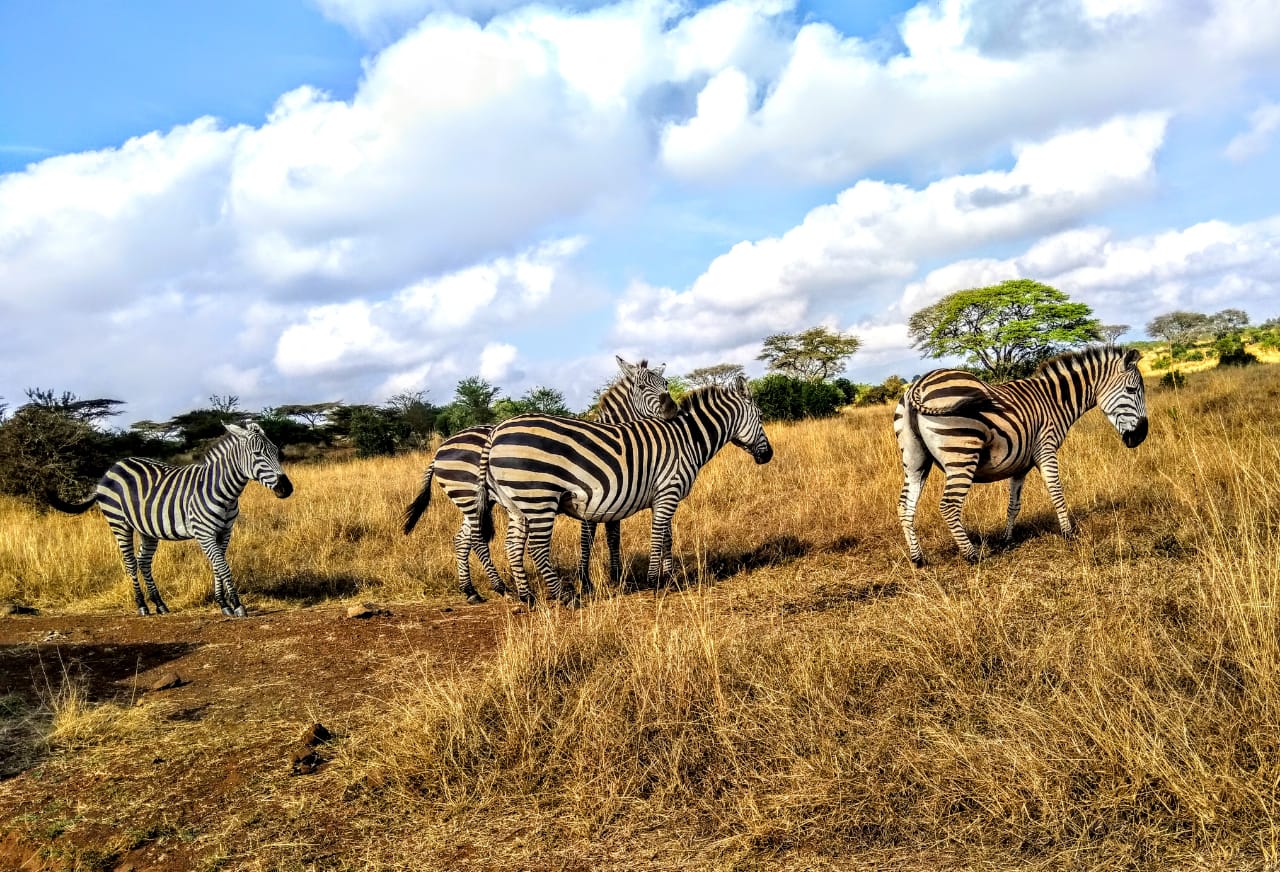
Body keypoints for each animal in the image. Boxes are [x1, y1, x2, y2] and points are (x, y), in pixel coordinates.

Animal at [48, 422, 293, 616]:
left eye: (277, 452)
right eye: (257, 454)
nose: (287, 489)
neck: (222, 490)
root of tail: (112, 468)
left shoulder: (224, 532)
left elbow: (217, 565)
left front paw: (223, 604)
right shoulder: (204, 532)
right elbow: (223, 566)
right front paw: (237, 604)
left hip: (146, 528)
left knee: (143, 561)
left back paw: (160, 604)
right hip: (119, 523)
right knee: (130, 562)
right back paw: (142, 606)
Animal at [403, 357, 677, 604]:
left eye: (665, 383)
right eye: (642, 387)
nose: (671, 410)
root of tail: (440, 450)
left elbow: (620, 536)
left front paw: (626, 575)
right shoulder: (597, 496)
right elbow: (590, 539)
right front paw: (591, 581)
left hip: (476, 503)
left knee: (462, 539)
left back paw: (472, 591)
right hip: (472, 498)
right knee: (478, 541)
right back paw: (502, 588)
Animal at [473, 376, 773, 607]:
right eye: (760, 416)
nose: (768, 455)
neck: (688, 438)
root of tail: (497, 431)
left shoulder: (663, 495)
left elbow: (667, 537)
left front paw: (669, 577)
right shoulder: (669, 490)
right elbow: (658, 535)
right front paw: (654, 582)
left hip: (516, 504)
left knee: (512, 546)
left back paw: (527, 598)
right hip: (538, 498)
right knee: (536, 548)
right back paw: (566, 598)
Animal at [894, 345, 1148, 565]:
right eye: (1132, 390)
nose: (1141, 436)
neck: (1055, 401)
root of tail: (917, 385)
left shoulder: (1020, 464)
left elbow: (1014, 505)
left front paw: (1007, 540)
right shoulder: (1046, 448)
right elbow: (1057, 492)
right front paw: (1068, 533)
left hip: (915, 461)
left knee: (905, 506)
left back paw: (918, 558)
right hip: (961, 454)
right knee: (949, 505)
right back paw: (972, 555)